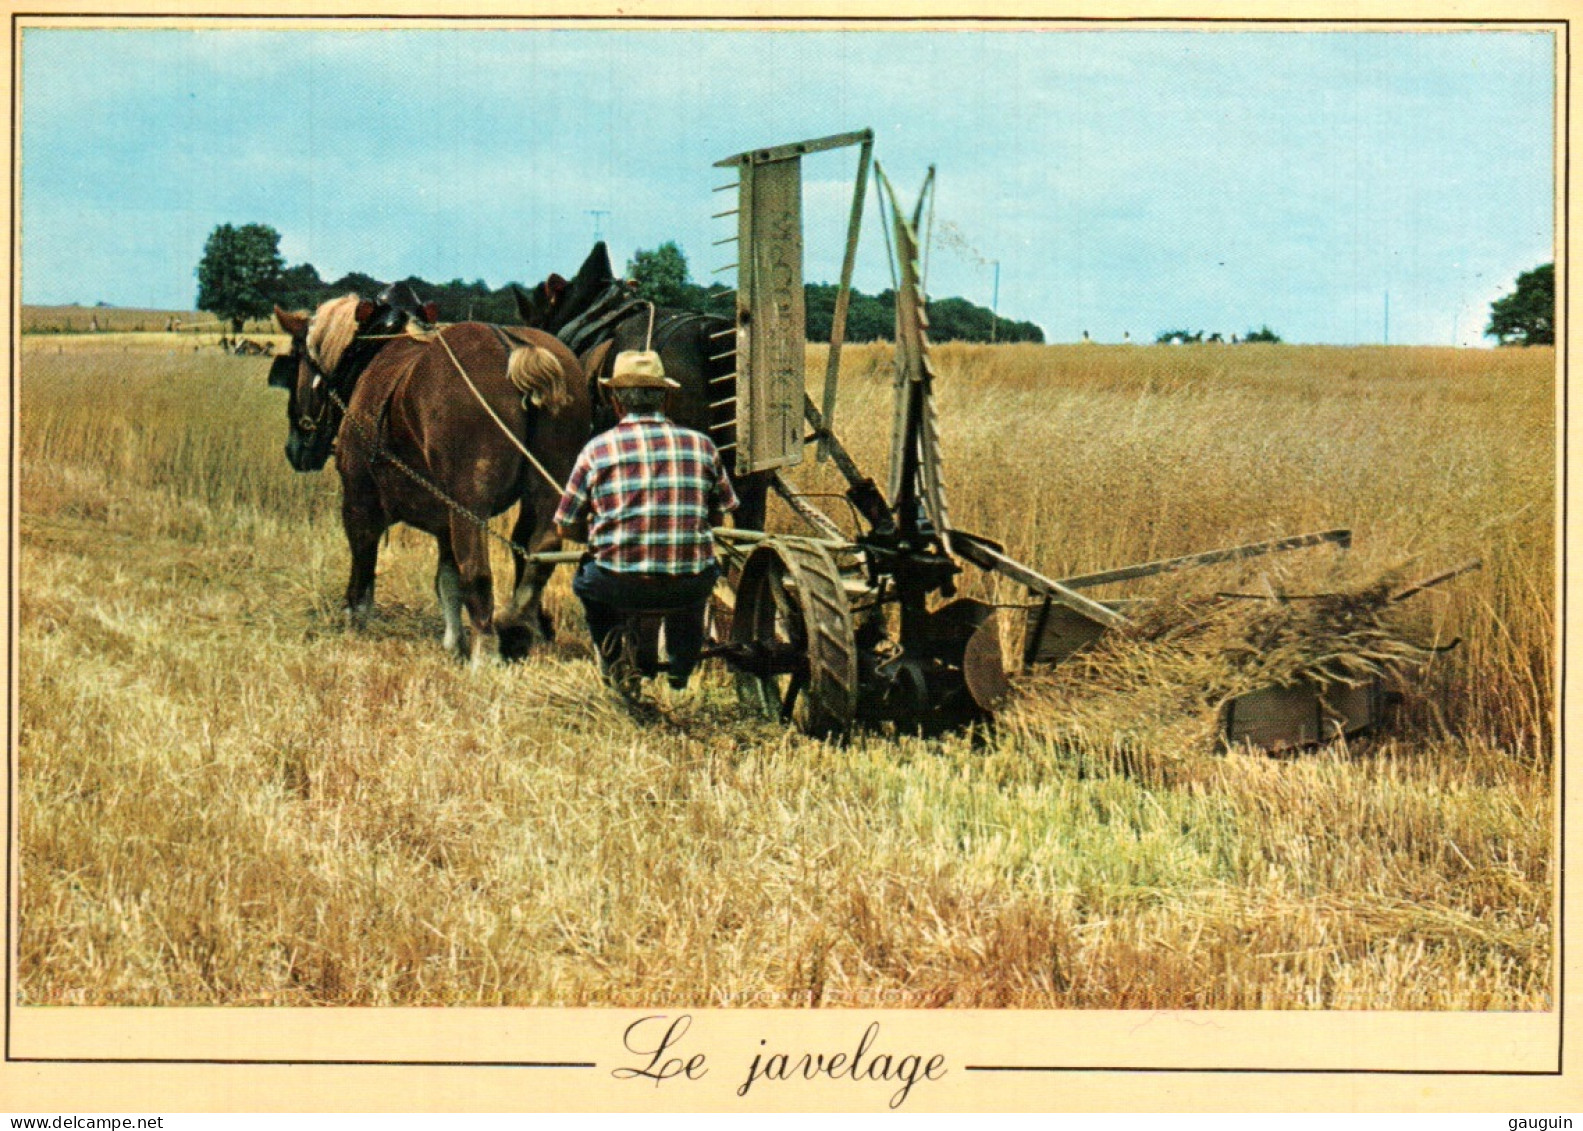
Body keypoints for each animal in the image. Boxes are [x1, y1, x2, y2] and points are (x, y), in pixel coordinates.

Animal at [269, 293, 592, 662]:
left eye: (294, 362)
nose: (295, 448)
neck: (368, 357)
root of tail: (514, 348)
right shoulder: (444, 517)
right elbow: (447, 579)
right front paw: (454, 641)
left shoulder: (359, 501)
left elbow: (363, 565)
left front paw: (354, 619)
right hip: (547, 491)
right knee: (539, 551)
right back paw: (520, 622)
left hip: (471, 504)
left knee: (478, 570)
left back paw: (487, 648)